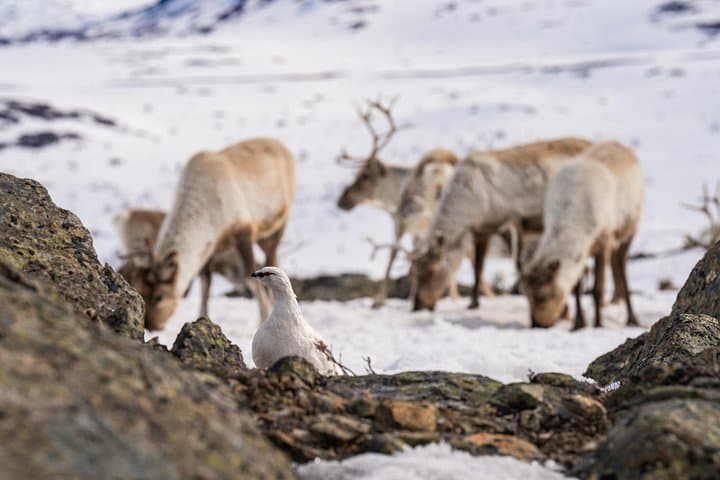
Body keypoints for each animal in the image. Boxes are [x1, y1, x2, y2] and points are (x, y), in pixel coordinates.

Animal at [125, 137, 295, 331]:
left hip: (277, 225)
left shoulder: (244, 232)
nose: (150, 325)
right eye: (140, 289)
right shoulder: (210, 248)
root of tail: (282, 146)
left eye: (159, 296)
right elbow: (205, 284)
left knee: (272, 258)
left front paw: (264, 318)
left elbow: (250, 277)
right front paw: (203, 318)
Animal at [409, 137, 593, 312]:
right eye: (415, 272)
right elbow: (479, 267)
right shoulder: (483, 229)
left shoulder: (503, 223)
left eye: (431, 271)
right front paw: (473, 303)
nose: (418, 305)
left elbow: (513, 263)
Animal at [520, 141, 644, 329]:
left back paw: (632, 319)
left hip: (630, 227)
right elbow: (577, 288)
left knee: (621, 264)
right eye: (527, 295)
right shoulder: (583, 251)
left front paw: (598, 324)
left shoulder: (604, 239)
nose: (537, 325)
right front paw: (579, 324)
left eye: (543, 297)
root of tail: (622, 146)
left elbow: (597, 289)